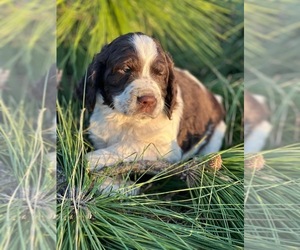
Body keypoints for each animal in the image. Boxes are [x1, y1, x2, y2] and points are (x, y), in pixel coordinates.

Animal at [76, 32, 226, 171]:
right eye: (125, 69)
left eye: (160, 73)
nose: (148, 100)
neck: (127, 120)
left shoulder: (166, 148)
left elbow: (132, 145)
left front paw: (93, 158)